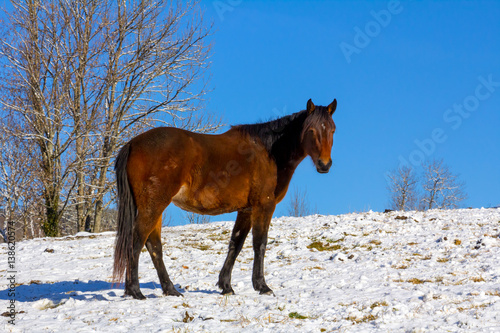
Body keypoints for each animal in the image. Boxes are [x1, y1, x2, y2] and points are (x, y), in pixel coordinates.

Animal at [113, 97, 338, 296]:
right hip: (153, 206)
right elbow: (260, 244)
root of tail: (133, 143)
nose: (324, 164)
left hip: (156, 207)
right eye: (311, 130)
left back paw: (170, 290)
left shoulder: (246, 210)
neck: (270, 151)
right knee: (136, 242)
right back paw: (135, 291)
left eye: (332, 129)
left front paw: (226, 286)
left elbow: (235, 244)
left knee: (153, 246)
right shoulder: (263, 206)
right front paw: (262, 286)